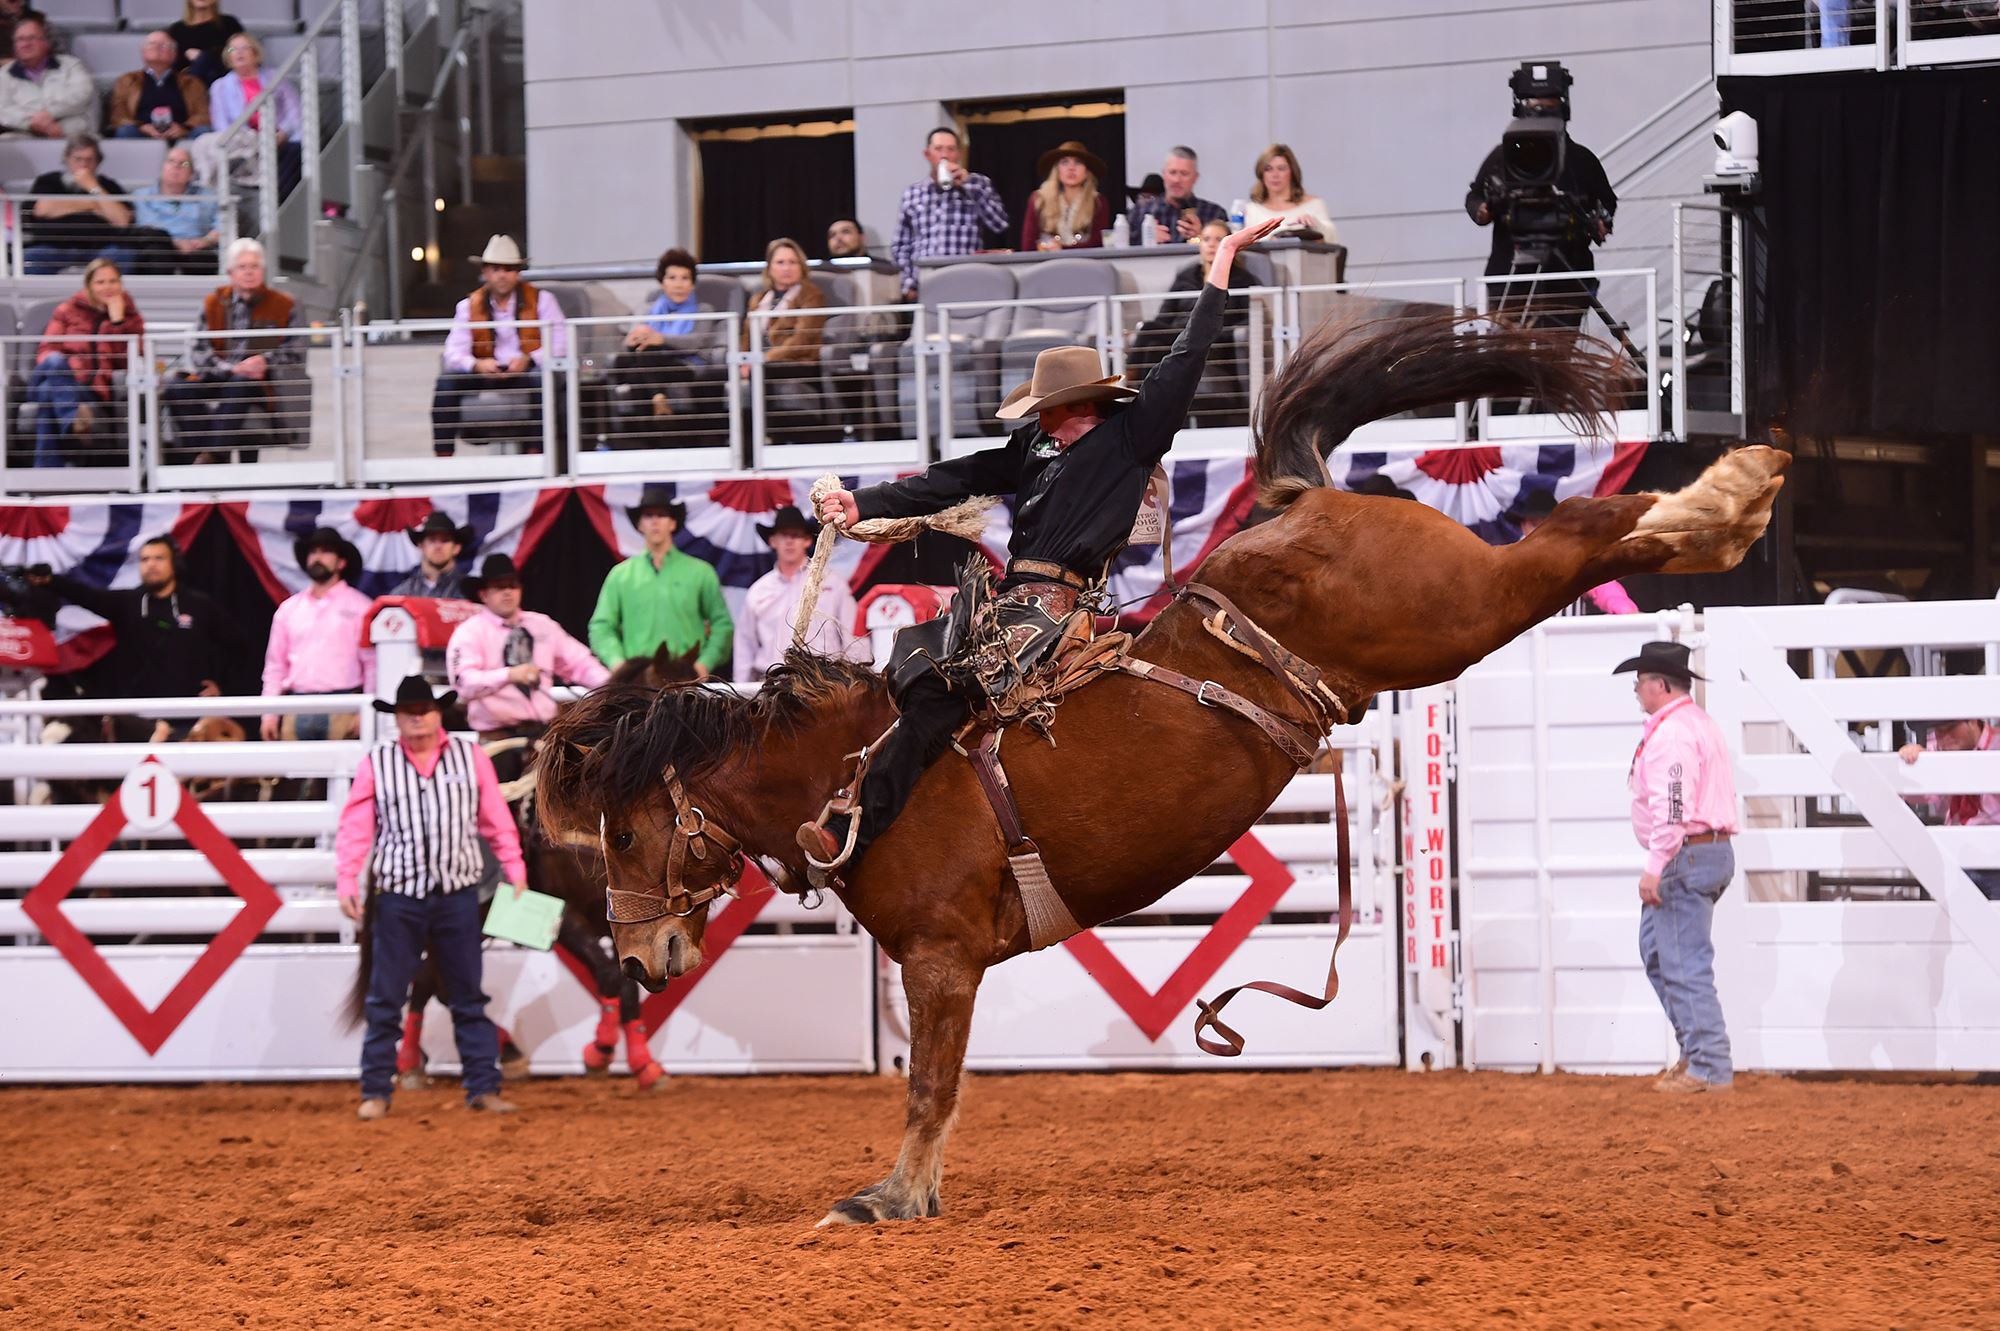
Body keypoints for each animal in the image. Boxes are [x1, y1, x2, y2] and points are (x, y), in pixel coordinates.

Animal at [532, 313, 1784, 1223]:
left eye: (625, 831)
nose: (635, 954)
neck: (858, 768)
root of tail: (1294, 500)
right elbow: (933, 1081)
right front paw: (908, 1190)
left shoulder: (940, 958)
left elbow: (929, 1079)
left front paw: (887, 1197)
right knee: (1583, 523)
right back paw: (1728, 498)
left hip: (1452, 609)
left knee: (1574, 532)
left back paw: (1727, 492)